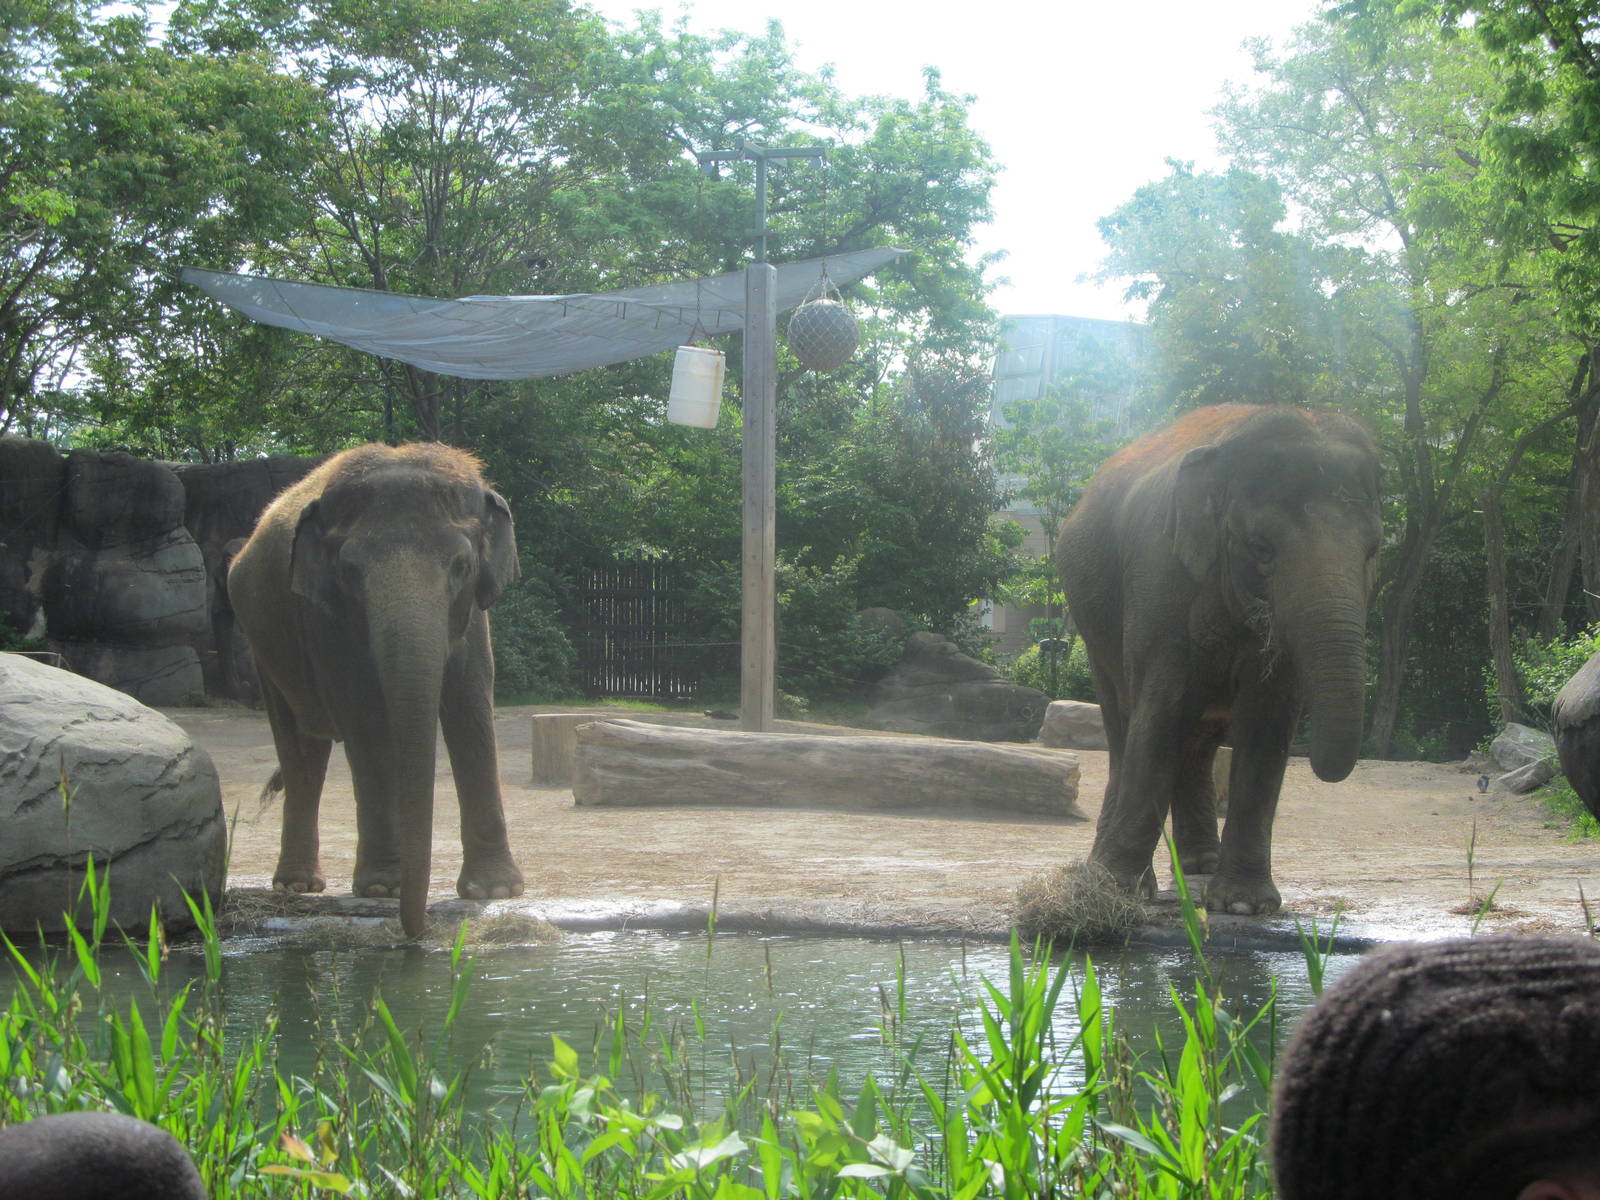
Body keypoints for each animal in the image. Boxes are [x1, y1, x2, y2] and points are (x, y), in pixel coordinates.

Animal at [228, 442, 524, 937]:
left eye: (462, 566)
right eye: (350, 571)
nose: (415, 935)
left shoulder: (473, 617)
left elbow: (471, 710)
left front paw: (497, 891)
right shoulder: (325, 617)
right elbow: (366, 717)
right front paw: (384, 888)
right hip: (263, 646)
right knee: (301, 750)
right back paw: (298, 885)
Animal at [1056, 404, 1381, 915]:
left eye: (1374, 551)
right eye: (1261, 548)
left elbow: (1267, 726)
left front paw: (1244, 906)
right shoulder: (1159, 581)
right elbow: (1161, 712)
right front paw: (1118, 893)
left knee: (1197, 741)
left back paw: (1199, 867)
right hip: (1093, 627)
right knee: (1123, 723)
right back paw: (1115, 875)